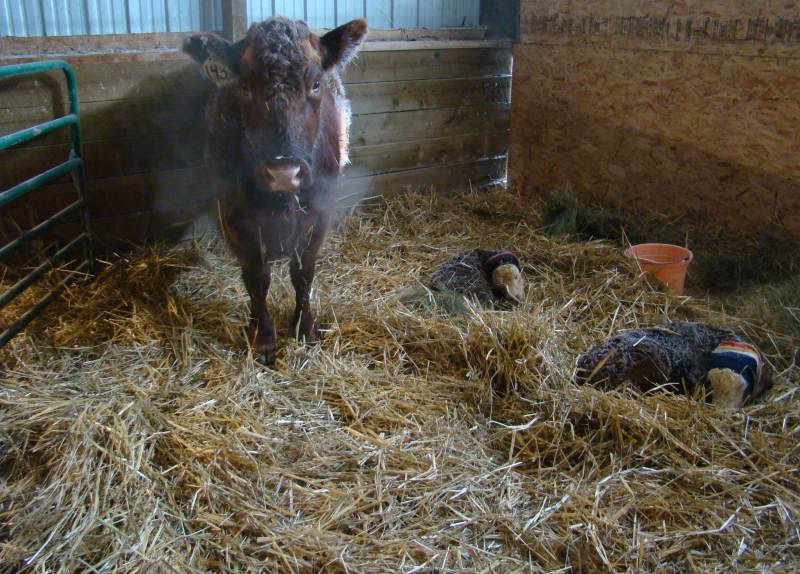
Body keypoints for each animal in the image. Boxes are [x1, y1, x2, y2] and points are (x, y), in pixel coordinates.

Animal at [183, 17, 367, 363]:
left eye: (316, 84)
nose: (284, 172)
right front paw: (263, 337)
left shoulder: (320, 213)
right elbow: (256, 278)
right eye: (245, 86)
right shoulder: (233, 215)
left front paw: (304, 327)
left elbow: (303, 273)